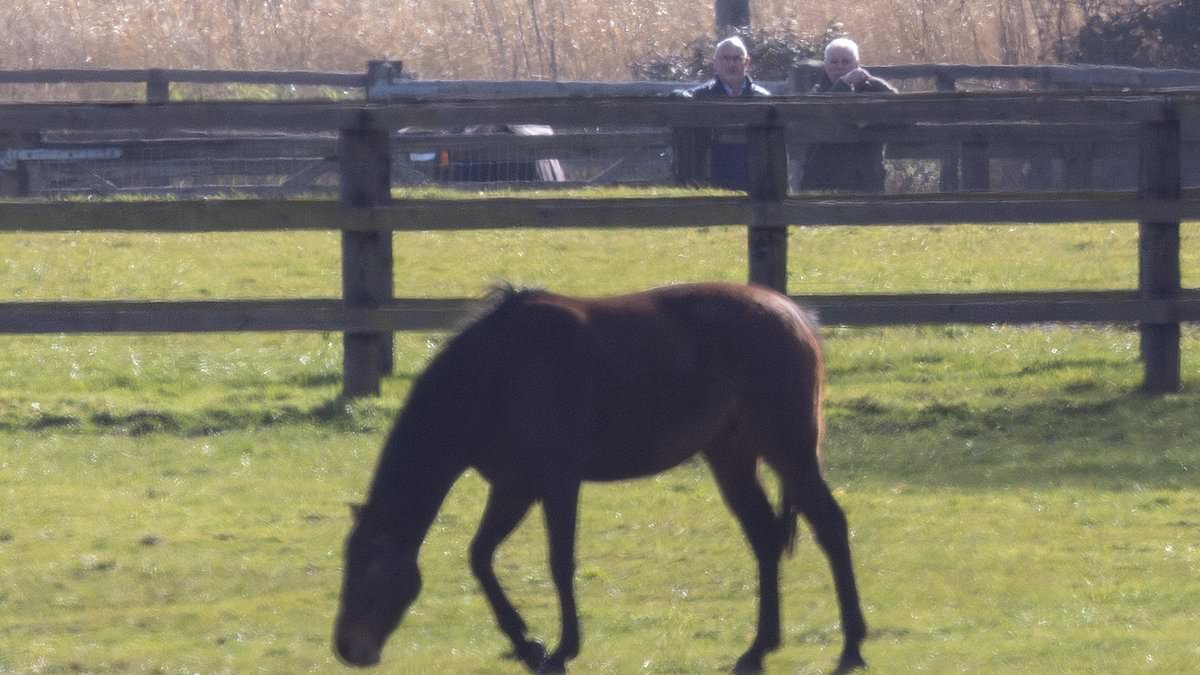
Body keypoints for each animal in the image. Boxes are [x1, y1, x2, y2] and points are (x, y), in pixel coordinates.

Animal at [333, 282, 867, 673]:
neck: (499, 370)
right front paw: (526, 643)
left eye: (369, 570)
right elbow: (480, 558)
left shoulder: (556, 482)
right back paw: (757, 649)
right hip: (731, 458)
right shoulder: (513, 486)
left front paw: (562, 648)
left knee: (831, 527)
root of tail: (795, 314)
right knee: (764, 538)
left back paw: (851, 648)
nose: (346, 648)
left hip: (790, 452)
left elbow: (559, 562)